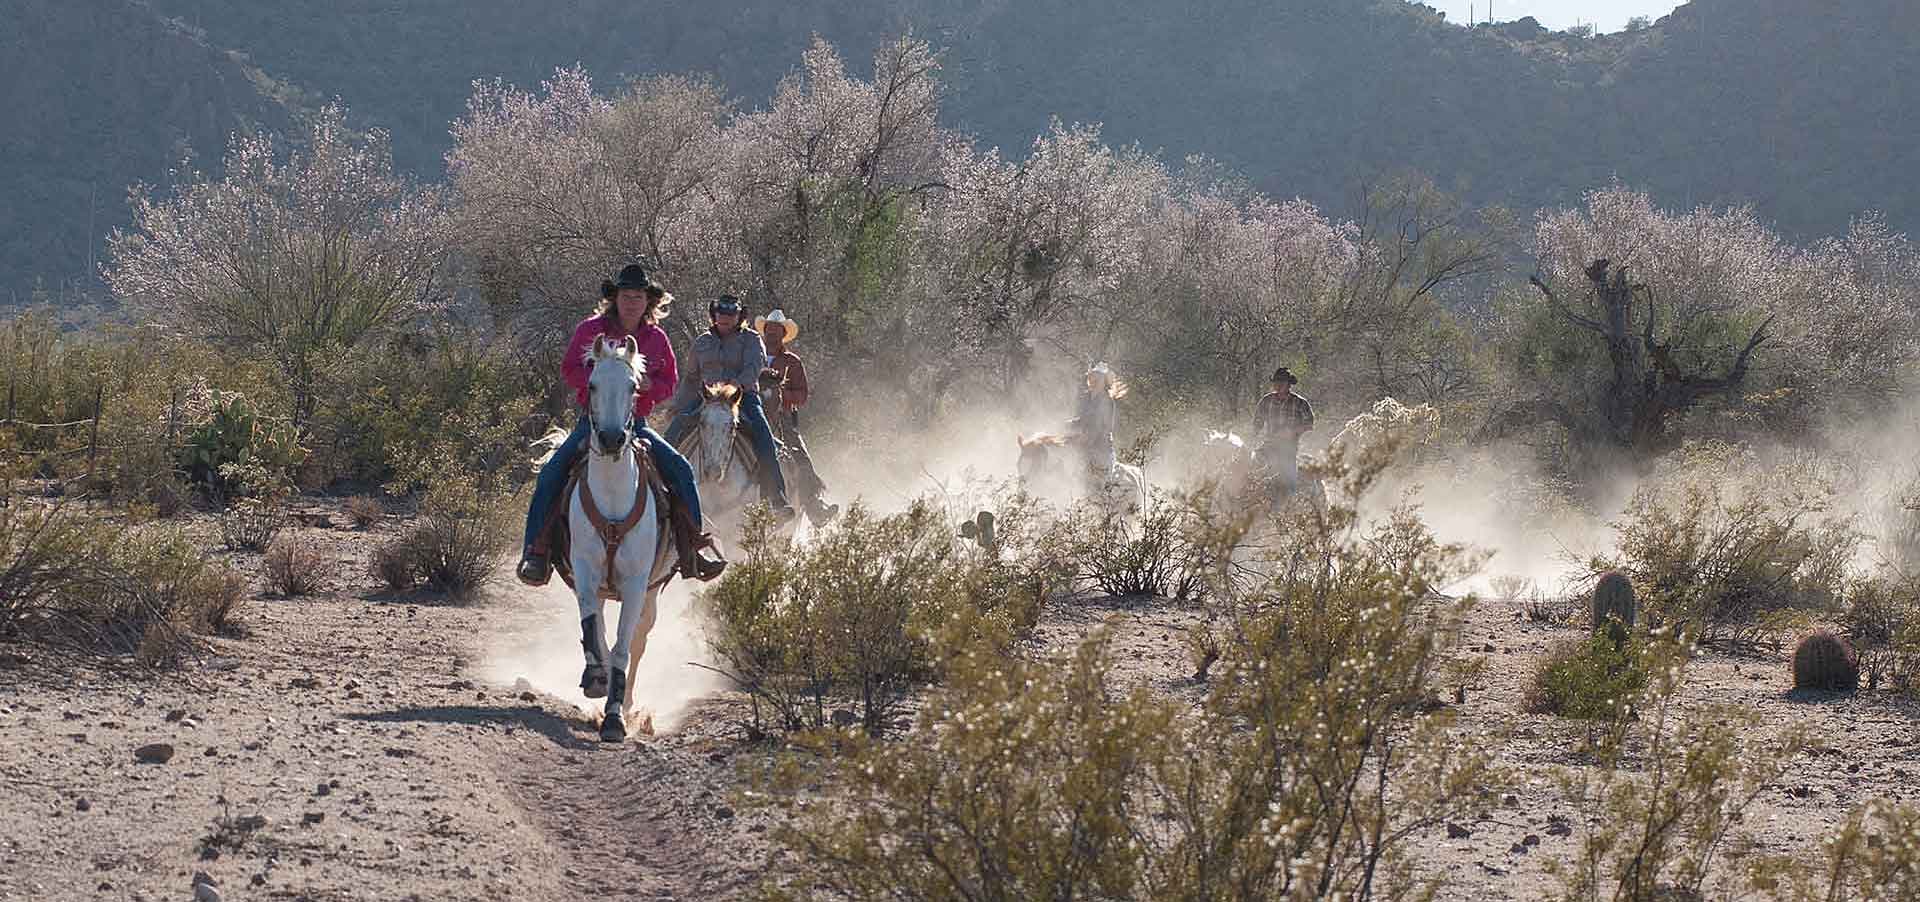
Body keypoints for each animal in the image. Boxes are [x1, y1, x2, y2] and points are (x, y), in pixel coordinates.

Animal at [529, 333, 672, 744]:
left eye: (634, 386)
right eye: (592, 384)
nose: (610, 438)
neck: (611, 496)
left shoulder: (638, 584)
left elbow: (624, 647)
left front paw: (614, 718)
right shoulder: (586, 573)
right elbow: (593, 628)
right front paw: (596, 678)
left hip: (650, 594)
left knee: (638, 641)